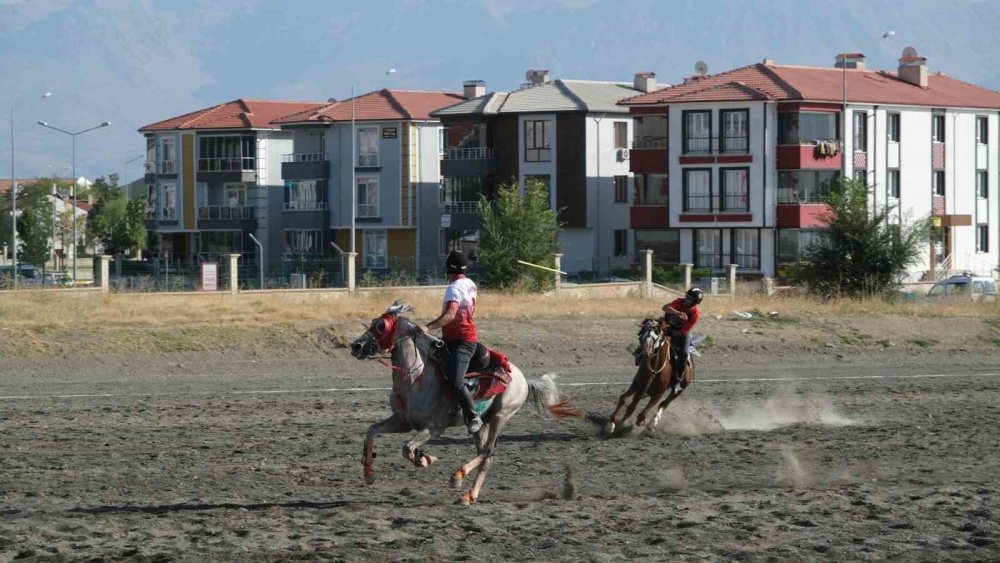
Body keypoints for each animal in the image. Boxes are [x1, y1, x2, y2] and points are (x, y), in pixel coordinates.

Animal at [350, 302, 580, 504]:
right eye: (373, 321)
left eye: (381, 326)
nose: (356, 346)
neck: (415, 379)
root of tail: (522, 378)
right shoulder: (402, 422)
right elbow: (372, 431)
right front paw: (369, 474)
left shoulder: (433, 428)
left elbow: (407, 449)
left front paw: (425, 459)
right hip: (481, 424)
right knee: (484, 454)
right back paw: (468, 492)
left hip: (501, 416)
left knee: (488, 452)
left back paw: (459, 480)